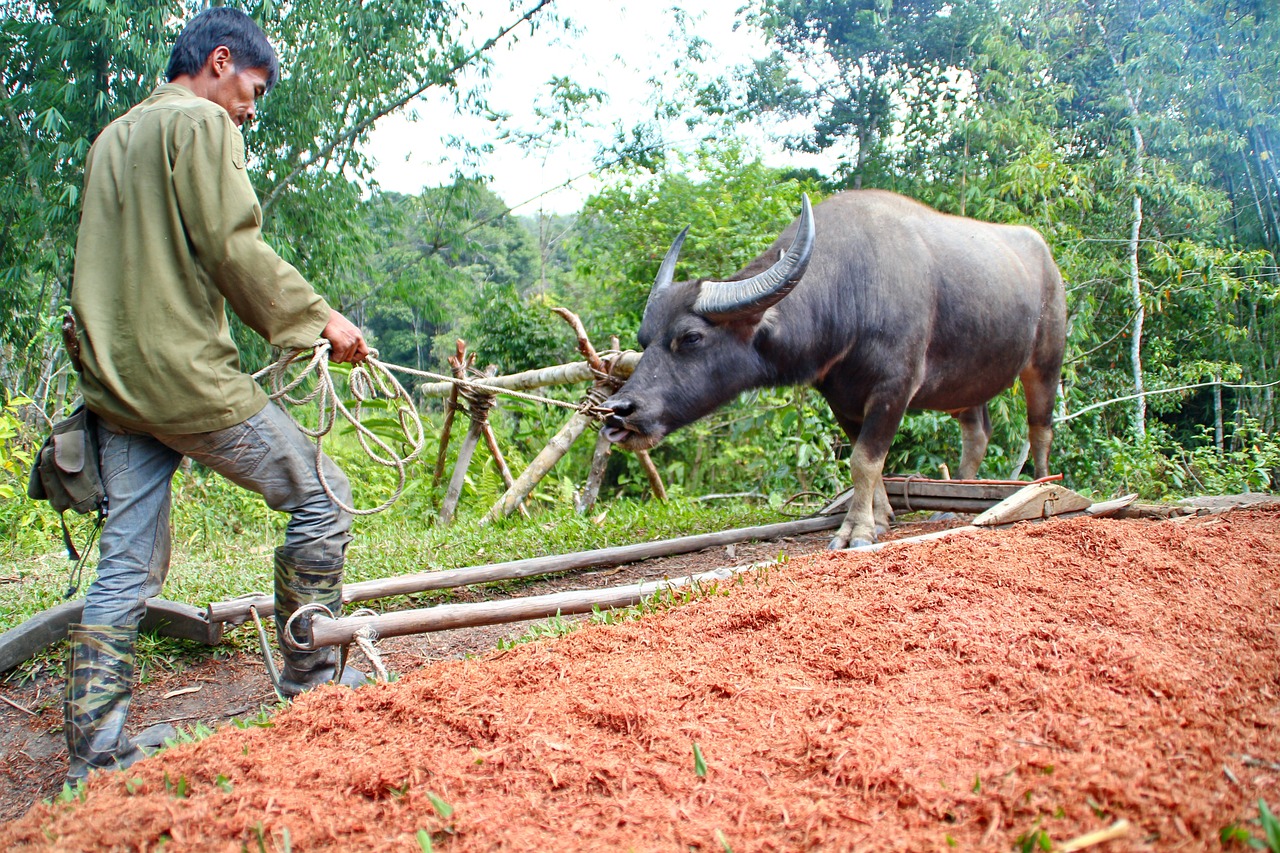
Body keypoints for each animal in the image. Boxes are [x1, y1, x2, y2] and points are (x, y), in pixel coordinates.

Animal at [599, 188, 1070, 545]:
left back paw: (1046, 489)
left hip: (1046, 363)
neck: (853, 288)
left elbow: (865, 460)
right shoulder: (841, 398)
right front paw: (879, 519)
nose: (618, 412)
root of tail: (1047, 258)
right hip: (968, 383)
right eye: (644, 339)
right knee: (977, 435)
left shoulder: (895, 386)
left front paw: (856, 531)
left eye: (691, 337)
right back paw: (952, 504)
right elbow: (869, 464)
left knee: (1040, 430)